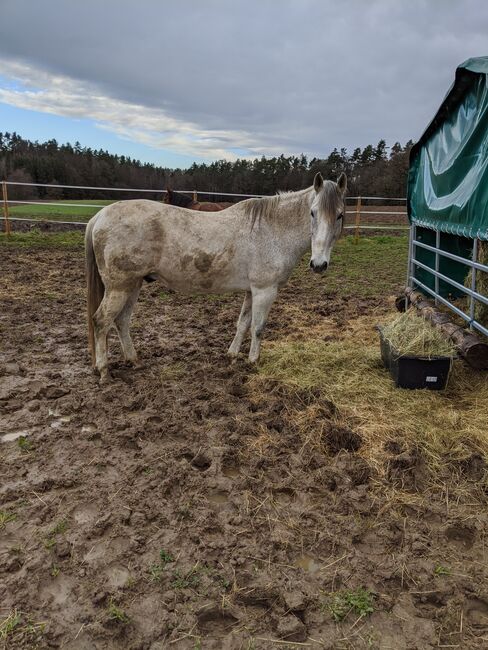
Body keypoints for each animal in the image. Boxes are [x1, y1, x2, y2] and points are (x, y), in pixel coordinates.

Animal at [86, 172, 346, 382]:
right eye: (312, 213)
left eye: (340, 216)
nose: (319, 264)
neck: (272, 230)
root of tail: (99, 217)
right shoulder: (265, 290)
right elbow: (258, 327)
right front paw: (253, 361)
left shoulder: (251, 290)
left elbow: (243, 323)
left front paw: (232, 355)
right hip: (119, 287)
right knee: (101, 321)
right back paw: (104, 371)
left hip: (133, 285)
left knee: (121, 321)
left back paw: (134, 360)